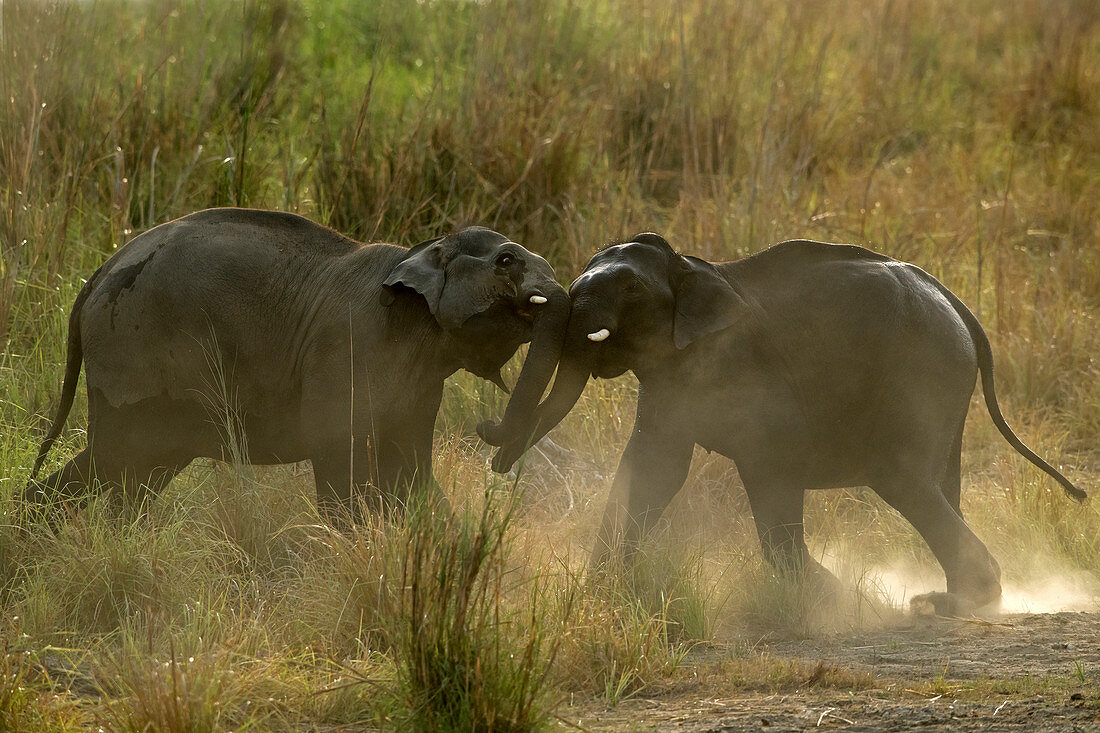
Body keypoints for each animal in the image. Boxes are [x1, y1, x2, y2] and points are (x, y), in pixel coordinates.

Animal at [25, 206, 567, 519]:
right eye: (506, 261)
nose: (487, 430)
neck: (422, 250)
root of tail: (95, 278)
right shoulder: (351, 345)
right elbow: (338, 461)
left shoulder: (418, 381)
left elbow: (410, 470)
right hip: (130, 355)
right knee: (115, 460)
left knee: (136, 473)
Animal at [484, 231, 1091, 611]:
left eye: (631, 288)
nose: (490, 440)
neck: (694, 269)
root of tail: (956, 300)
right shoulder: (672, 376)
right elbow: (655, 467)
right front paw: (597, 597)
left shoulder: (746, 372)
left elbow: (768, 466)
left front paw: (839, 599)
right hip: (944, 381)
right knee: (941, 482)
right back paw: (958, 600)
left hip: (924, 369)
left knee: (902, 478)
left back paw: (943, 605)